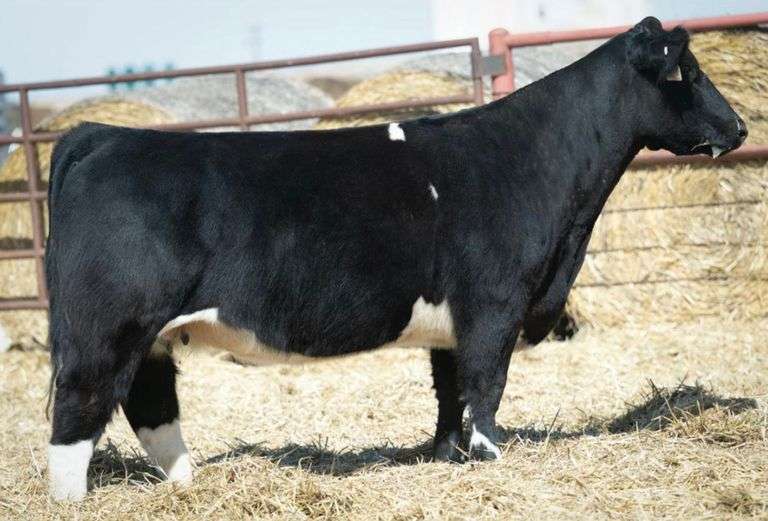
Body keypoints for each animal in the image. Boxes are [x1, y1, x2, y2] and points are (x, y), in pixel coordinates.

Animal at [45, 17, 746, 500]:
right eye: (686, 73)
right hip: (104, 331)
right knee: (76, 418)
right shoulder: (493, 306)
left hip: (150, 339)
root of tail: (104, 135)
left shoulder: (450, 324)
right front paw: (491, 461)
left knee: (152, 410)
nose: (740, 128)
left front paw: (443, 459)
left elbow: (448, 396)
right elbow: (486, 389)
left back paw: (191, 488)